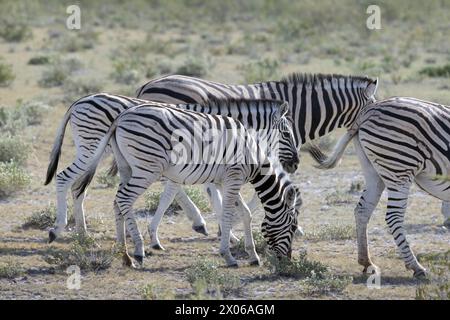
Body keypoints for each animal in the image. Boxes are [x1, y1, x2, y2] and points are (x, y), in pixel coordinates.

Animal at [44, 94, 298, 244]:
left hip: (92, 152)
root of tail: (79, 101)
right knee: (64, 178)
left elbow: (174, 195)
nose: (295, 163)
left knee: (78, 188)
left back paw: (83, 233)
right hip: (90, 148)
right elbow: (208, 197)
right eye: (286, 133)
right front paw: (227, 233)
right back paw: (59, 228)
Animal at [137, 73, 380, 250]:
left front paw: (229, 226)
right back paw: (198, 221)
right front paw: (232, 227)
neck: (300, 110)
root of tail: (148, 84)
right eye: (374, 109)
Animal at [310, 95, 450, 278]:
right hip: (400, 168)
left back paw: (366, 262)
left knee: (362, 210)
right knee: (393, 216)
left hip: (374, 172)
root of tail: (368, 110)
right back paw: (416, 267)